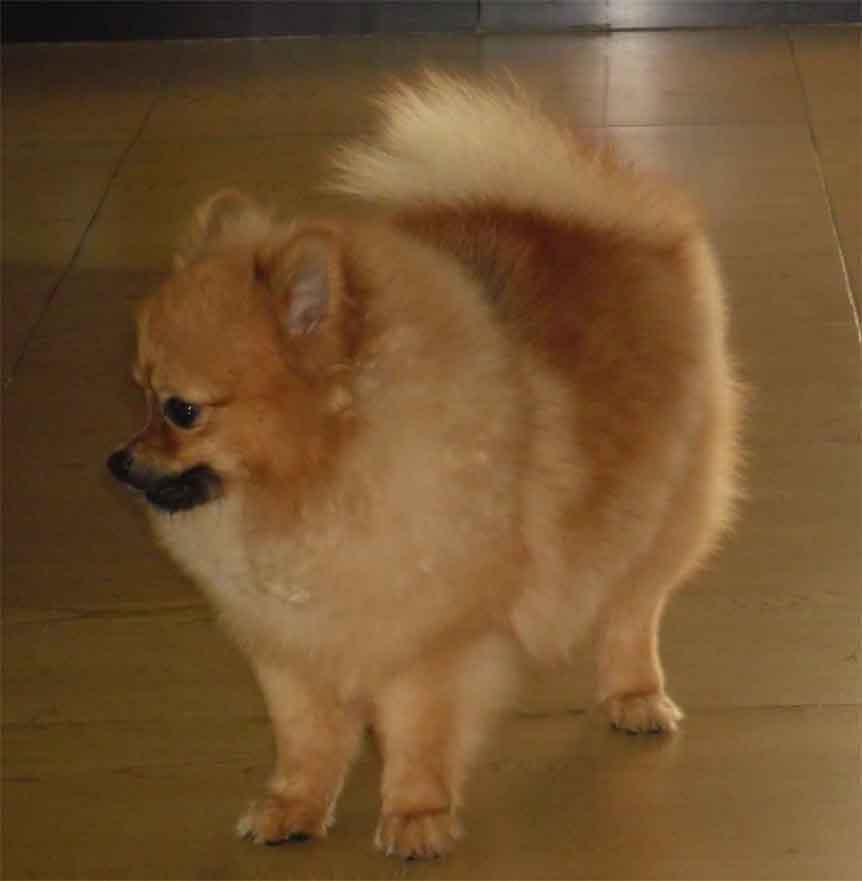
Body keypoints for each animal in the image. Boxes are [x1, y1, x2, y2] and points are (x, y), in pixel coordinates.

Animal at [107, 75, 741, 860]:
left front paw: (416, 814)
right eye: (139, 393)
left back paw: (634, 694)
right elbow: (305, 739)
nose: (119, 461)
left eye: (183, 410)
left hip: (658, 508)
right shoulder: (290, 649)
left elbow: (417, 733)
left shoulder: (428, 643)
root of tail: (624, 220)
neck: (321, 480)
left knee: (633, 608)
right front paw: (295, 806)